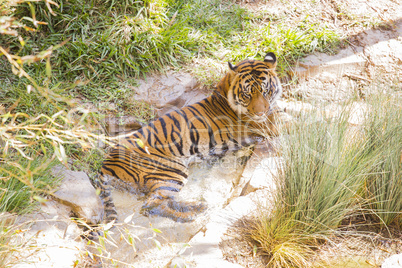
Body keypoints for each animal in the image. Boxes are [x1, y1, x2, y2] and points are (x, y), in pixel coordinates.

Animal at [98, 52, 286, 224]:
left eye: (266, 91)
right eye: (247, 94)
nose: (260, 113)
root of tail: (106, 161)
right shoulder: (265, 126)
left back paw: (197, 207)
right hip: (171, 170)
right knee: (150, 205)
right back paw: (193, 213)